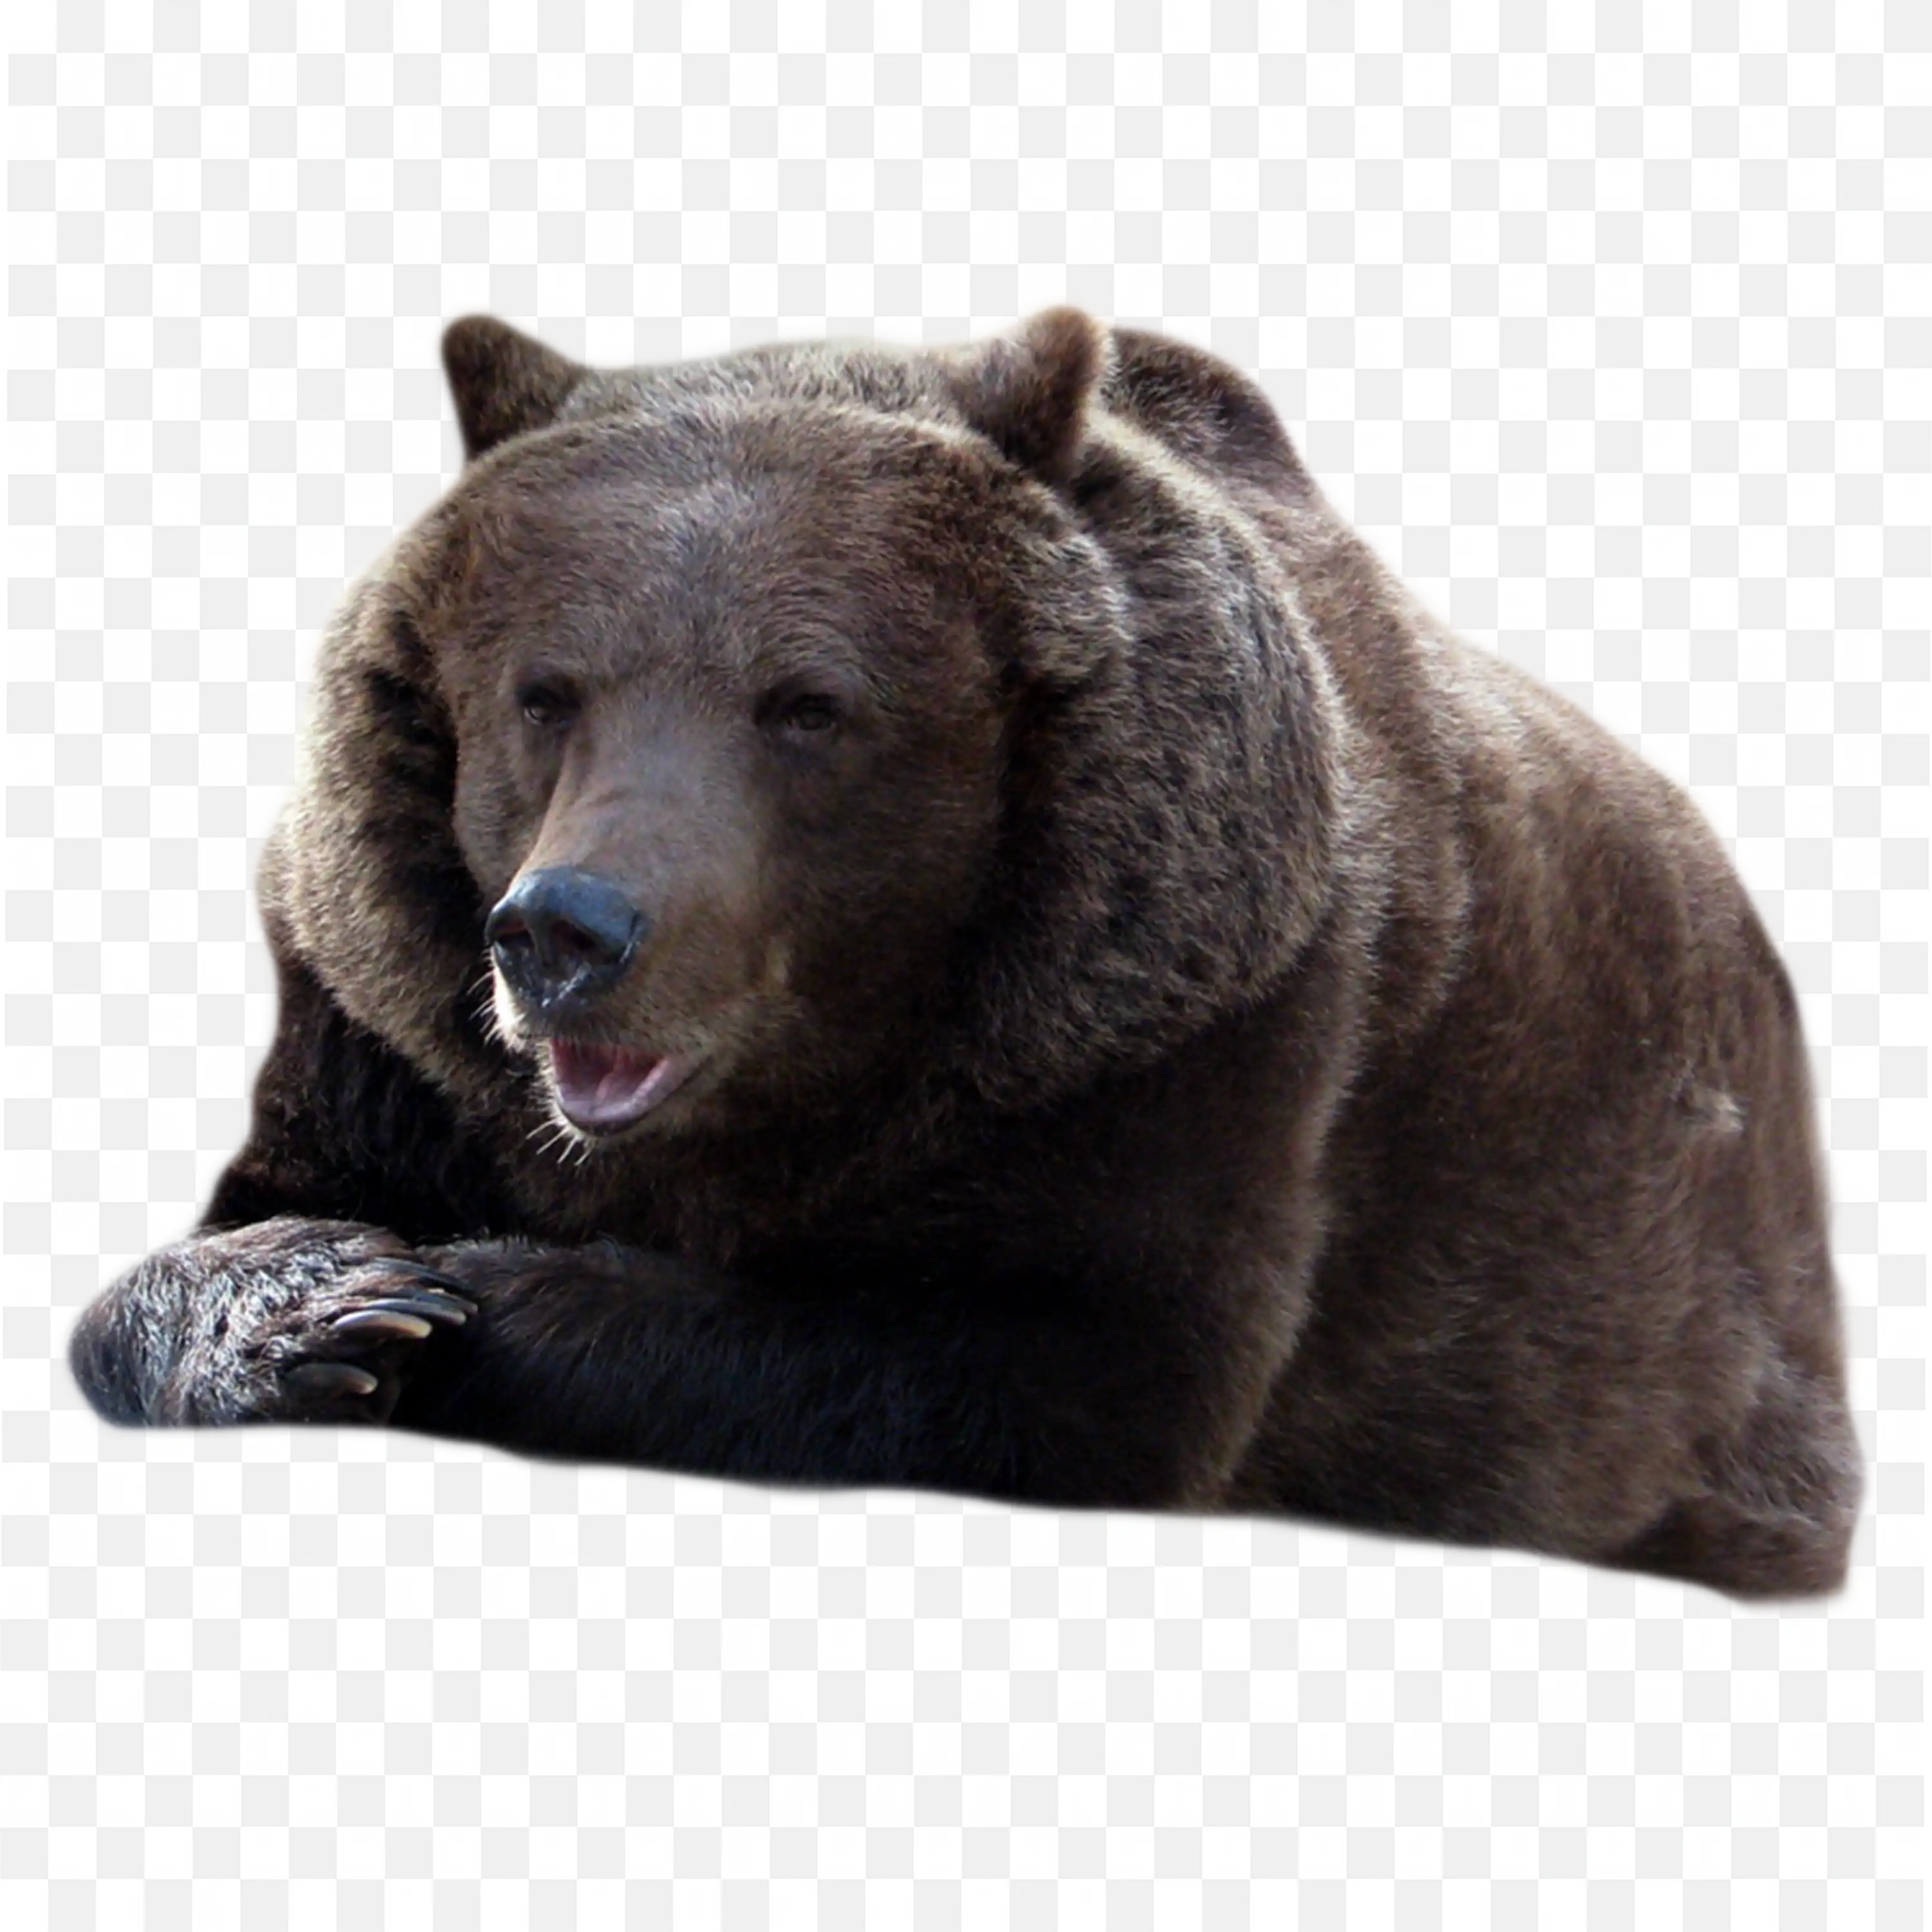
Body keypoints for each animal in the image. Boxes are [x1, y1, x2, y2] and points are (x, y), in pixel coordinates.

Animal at [65, 305, 1864, 1604]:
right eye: (543, 691)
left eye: (806, 705)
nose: (569, 931)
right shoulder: (385, 1022)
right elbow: (193, 1248)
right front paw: (328, 1298)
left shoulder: (1187, 1022)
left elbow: (1028, 1357)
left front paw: (466, 1296)